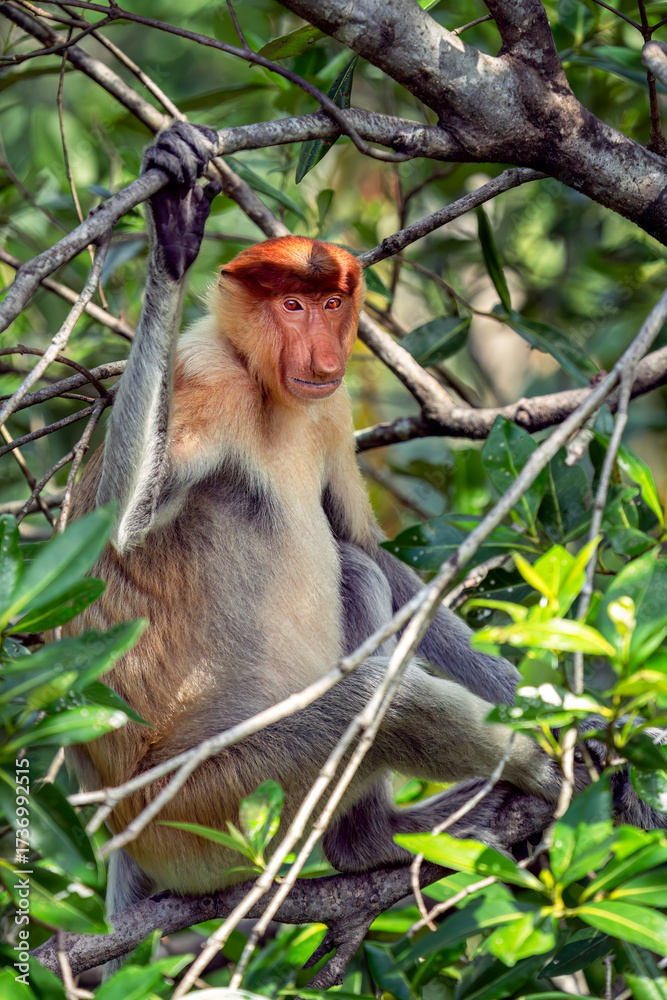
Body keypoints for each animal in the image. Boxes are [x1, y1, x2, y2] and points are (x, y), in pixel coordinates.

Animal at [65, 123, 665, 920]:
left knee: (356, 575)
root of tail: (123, 834)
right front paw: (171, 234)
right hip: (208, 806)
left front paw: (571, 716)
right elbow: (119, 534)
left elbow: (365, 550)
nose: (322, 352)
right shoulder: (202, 378)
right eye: (290, 304)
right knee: (381, 706)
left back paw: (380, 836)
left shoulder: (331, 407)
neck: (265, 390)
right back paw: (513, 789)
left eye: (329, 303)